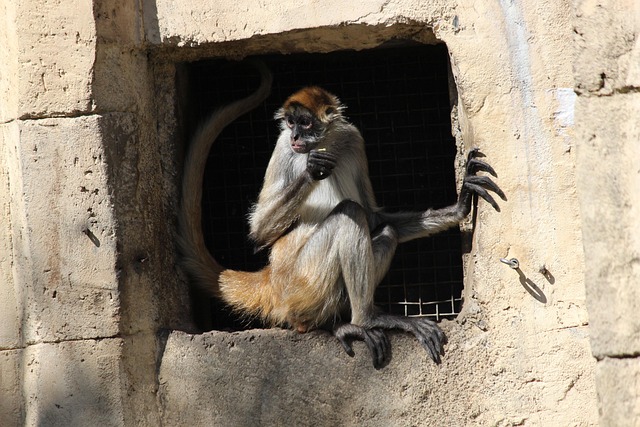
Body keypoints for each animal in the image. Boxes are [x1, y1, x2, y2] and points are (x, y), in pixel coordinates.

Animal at [178, 62, 506, 368]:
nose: (295, 135)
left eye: (305, 123)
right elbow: (259, 232)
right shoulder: (284, 146)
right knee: (349, 211)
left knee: (384, 229)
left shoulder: (352, 138)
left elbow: (375, 218)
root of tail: (272, 278)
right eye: (290, 122)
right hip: (302, 283)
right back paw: (364, 322)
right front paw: (313, 169)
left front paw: (461, 205)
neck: (325, 144)